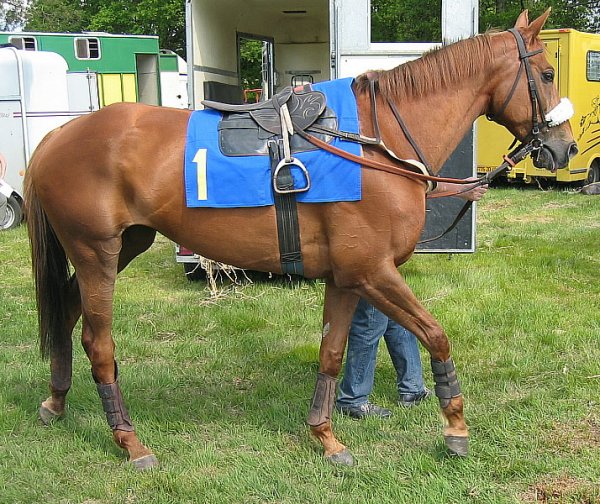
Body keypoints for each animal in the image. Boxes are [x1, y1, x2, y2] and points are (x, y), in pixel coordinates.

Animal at [23, 10, 576, 468]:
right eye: (548, 74)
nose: (564, 147)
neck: (374, 142)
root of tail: (58, 136)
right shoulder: (373, 271)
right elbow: (436, 335)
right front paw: (455, 427)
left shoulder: (348, 278)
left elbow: (332, 353)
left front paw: (326, 436)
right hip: (96, 252)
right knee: (98, 342)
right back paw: (129, 441)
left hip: (124, 245)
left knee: (67, 313)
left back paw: (54, 402)